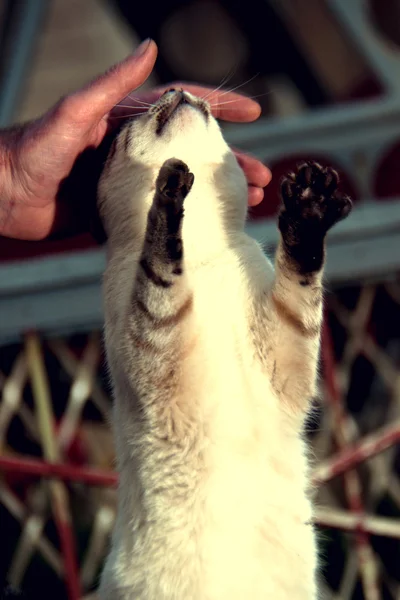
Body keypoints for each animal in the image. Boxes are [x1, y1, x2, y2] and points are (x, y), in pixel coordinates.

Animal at [98, 89, 352, 600]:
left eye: (178, 91)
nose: (176, 90)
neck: (204, 251)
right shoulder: (155, 338)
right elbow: (159, 257)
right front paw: (170, 190)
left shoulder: (284, 349)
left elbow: (301, 275)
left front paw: (309, 207)